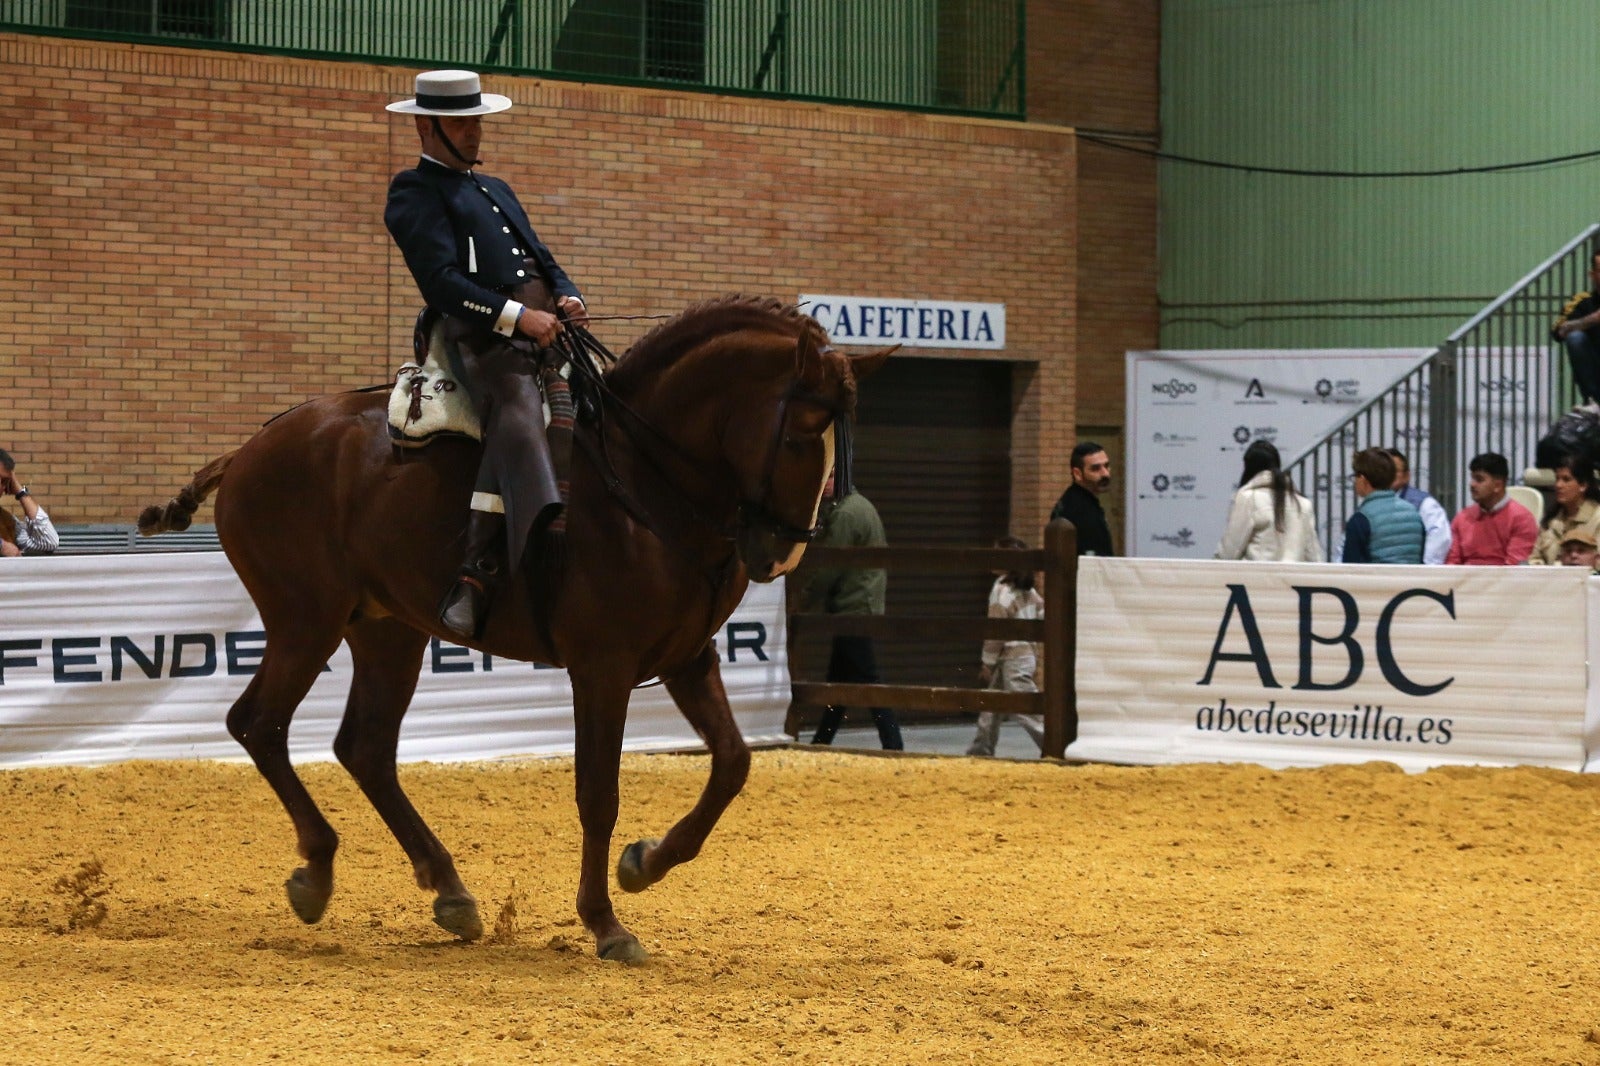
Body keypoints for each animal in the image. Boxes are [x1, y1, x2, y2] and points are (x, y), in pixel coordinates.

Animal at [140, 294, 889, 960]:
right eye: (798, 434)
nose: (780, 554)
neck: (643, 484)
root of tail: (253, 447)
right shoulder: (603, 668)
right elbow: (598, 793)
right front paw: (605, 923)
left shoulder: (687, 657)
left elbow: (733, 763)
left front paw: (645, 862)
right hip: (305, 620)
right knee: (260, 725)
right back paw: (318, 870)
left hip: (387, 631)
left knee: (365, 748)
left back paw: (449, 892)